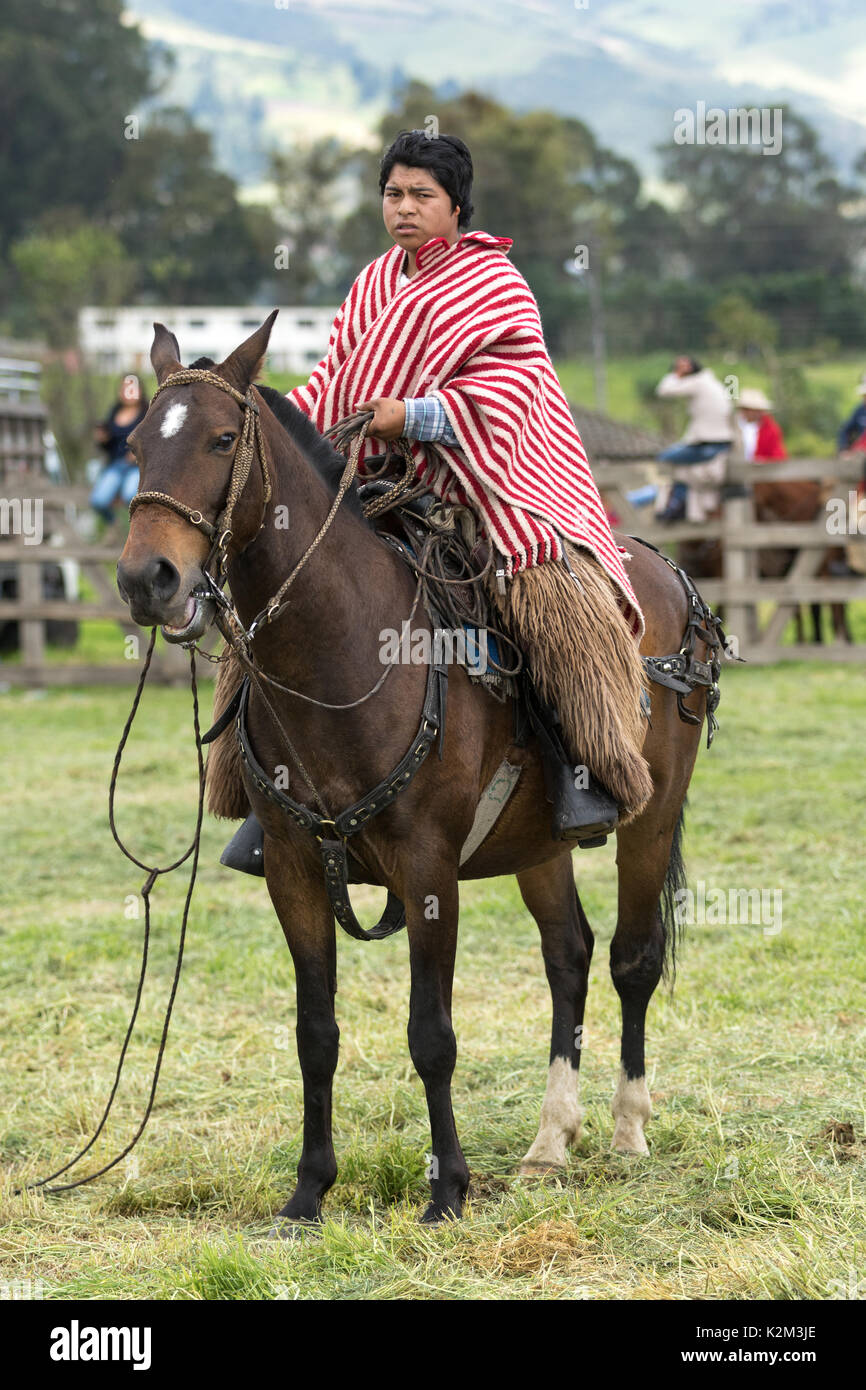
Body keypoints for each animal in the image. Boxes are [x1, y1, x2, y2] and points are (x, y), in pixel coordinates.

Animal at [118, 318, 717, 1228]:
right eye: (137, 444)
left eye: (222, 440)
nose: (146, 579)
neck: (344, 655)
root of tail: (664, 573)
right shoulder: (292, 868)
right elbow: (315, 1033)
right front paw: (308, 1192)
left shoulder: (430, 866)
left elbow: (431, 1034)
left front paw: (447, 1190)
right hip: (538, 844)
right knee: (569, 956)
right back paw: (550, 1141)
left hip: (651, 812)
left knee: (632, 958)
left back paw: (627, 1128)